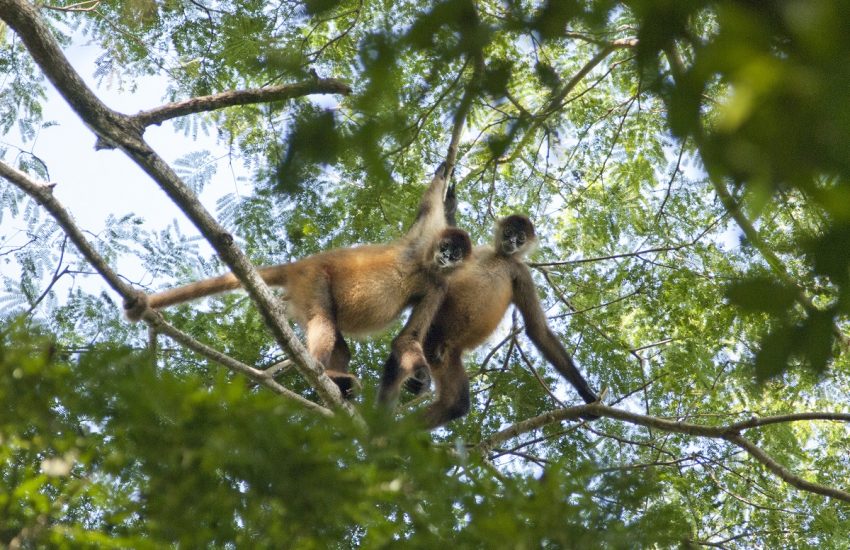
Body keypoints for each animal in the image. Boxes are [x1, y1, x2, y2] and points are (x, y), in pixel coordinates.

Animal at [125, 165, 472, 398]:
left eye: (457, 254)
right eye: (447, 248)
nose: (448, 257)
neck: (425, 265)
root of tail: (302, 264)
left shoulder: (438, 286)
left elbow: (406, 339)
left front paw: (421, 378)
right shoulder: (423, 237)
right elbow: (429, 204)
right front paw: (446, 178)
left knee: (339, 342)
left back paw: (336, 379)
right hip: (313, 280)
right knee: (323, 321)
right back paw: (321, 371)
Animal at [399, 206, 599, 428]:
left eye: (520, 238)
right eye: (509, 232)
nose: (511, 242)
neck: (502, 258)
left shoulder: (521, 272)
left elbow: (537, 329)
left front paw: (586, 394)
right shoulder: (481, 252)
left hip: (446, 356)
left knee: (456, 403)